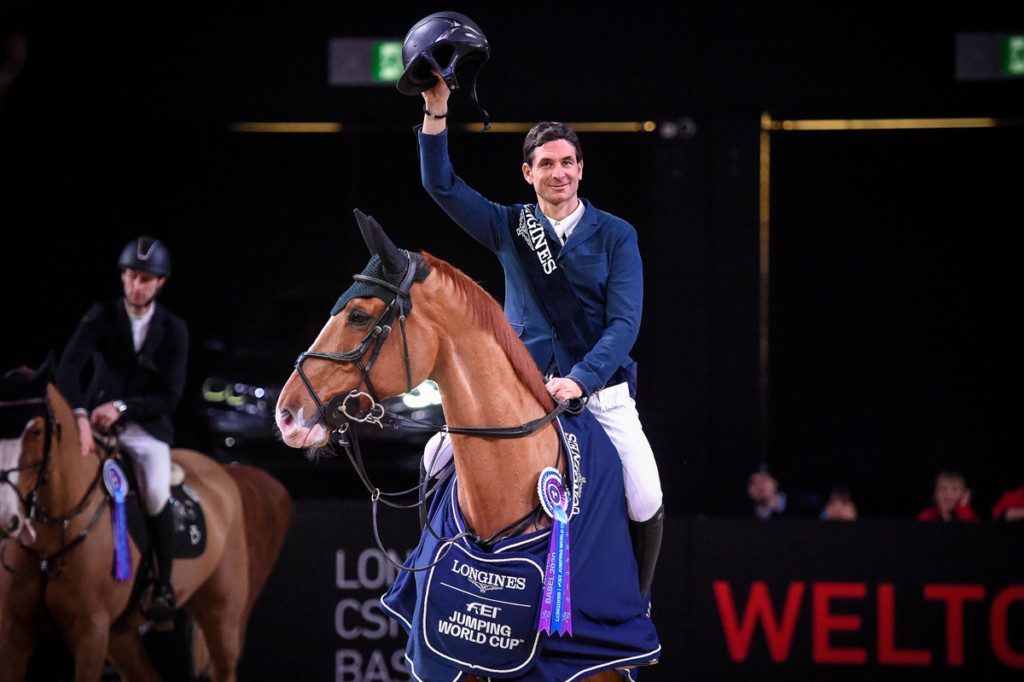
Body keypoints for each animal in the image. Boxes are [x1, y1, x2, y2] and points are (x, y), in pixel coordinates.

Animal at [0, 366, 290, 679]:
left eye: (36, 431)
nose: (6, 518)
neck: (55, 536)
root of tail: (225, 472)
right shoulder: (15, 628)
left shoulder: (91, 632)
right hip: (121, 636)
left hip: (221, 613)